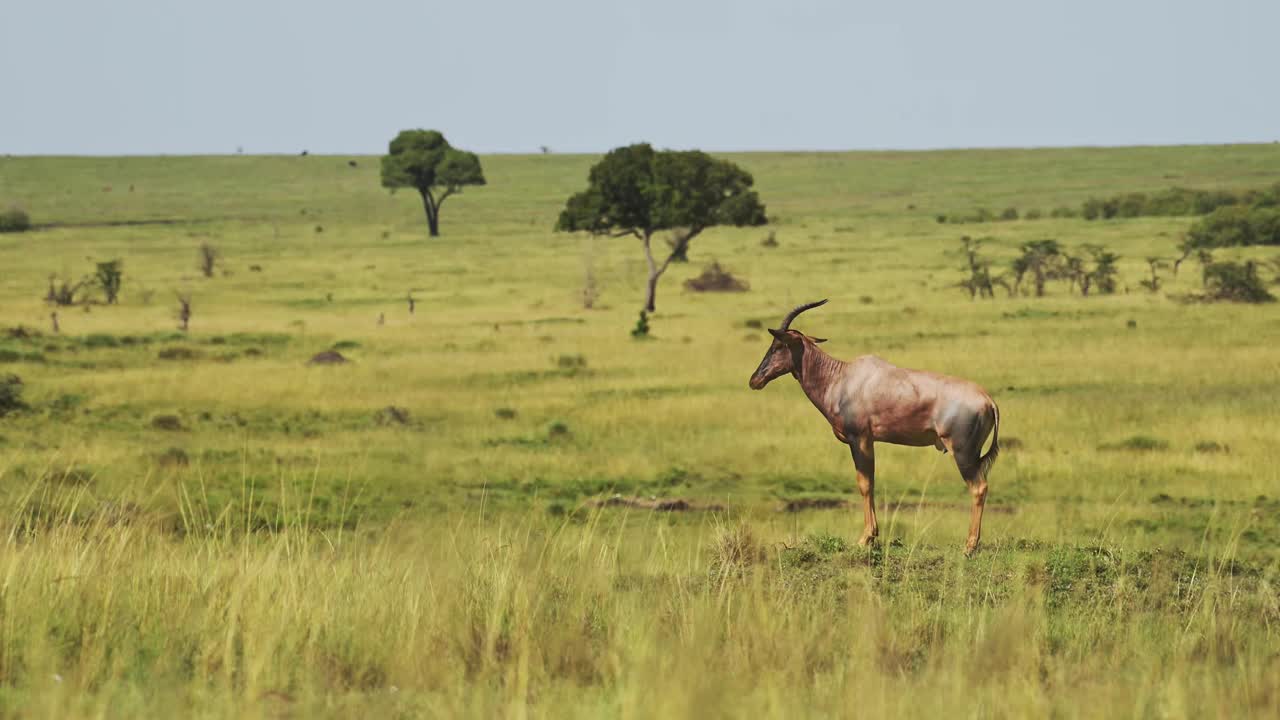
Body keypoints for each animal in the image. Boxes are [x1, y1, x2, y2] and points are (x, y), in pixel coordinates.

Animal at [747, 297, 998, 556]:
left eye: (778, 345)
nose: (755, 380)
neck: (841, 378)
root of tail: (988, 400)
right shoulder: (869, 441)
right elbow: (872, 482)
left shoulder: (860, 439)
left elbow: (864, 484)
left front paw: (865, 538)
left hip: (963, 453)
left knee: (979, 488)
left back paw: (969, 546)